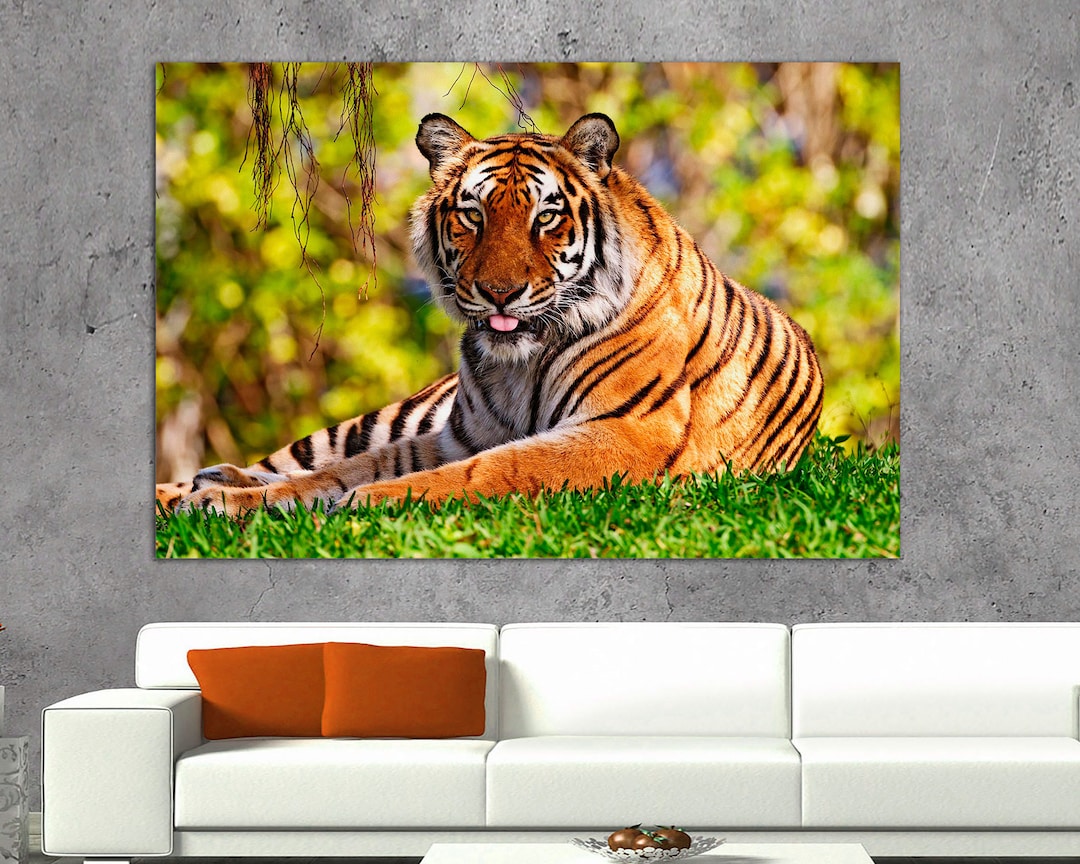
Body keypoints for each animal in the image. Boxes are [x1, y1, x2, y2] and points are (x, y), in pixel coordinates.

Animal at [156, 112, 824, 517]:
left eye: (546, 216)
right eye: (472, 215)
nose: (499, 292)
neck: (518, 364)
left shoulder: (627, 431)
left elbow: (488, 471)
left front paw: (364, 502)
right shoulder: (457, 434)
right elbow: (342, 470)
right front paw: (233, 502)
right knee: (289, 461)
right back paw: (203, 484)